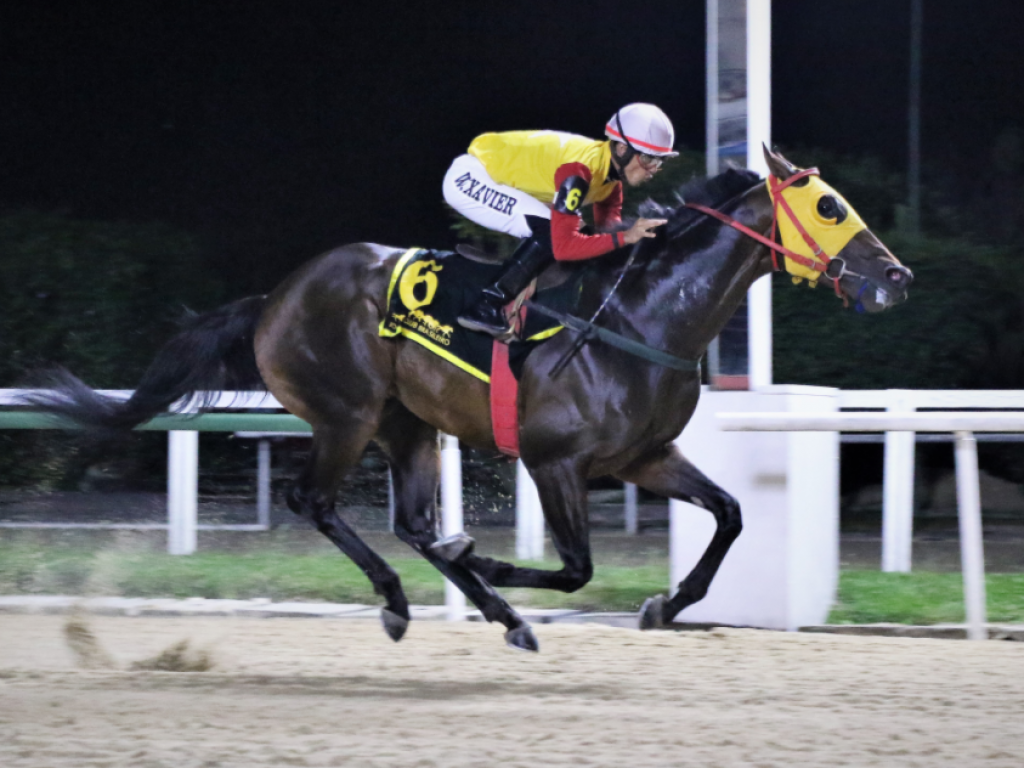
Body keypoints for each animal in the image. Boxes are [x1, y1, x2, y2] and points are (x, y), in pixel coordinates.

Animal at [29, 148, 913, 651]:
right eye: (830, 206)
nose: (897, 276)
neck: (638, 319)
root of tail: (275, 297)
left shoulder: (646, 457)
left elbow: (730, 514)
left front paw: (666, 605)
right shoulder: (556, 462)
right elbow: (577, 568)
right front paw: (486, 557)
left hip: (408, 425)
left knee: (414, 523)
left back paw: (496, 615)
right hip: (347, 413)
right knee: (315, 501)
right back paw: (409, 599)